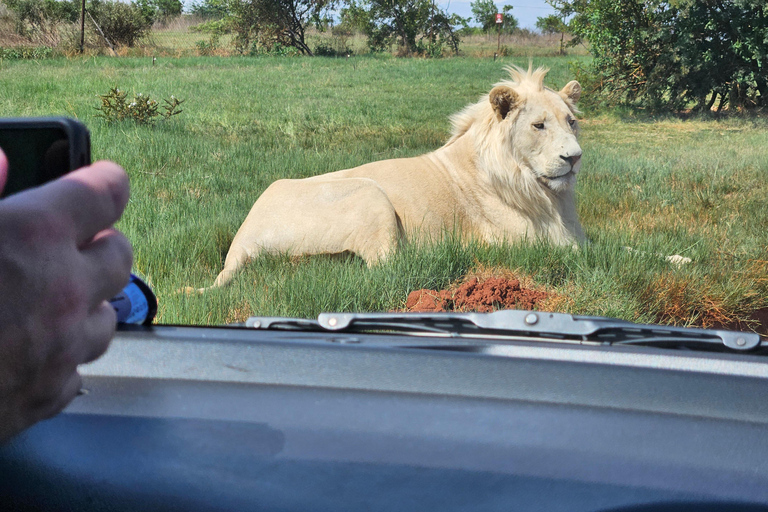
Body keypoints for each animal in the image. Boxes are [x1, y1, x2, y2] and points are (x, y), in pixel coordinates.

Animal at [201, 67, 584, 290]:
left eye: (572, 122)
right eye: (538, 125)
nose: (575, 157)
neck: (547, 195)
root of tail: (240, 241)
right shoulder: (524, 242)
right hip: (370, 195)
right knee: (388, 269)